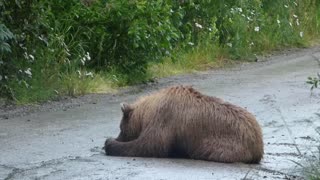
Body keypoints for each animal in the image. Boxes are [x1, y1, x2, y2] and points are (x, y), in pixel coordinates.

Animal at [104, 85, 264, 163]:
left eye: (121, 128)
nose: (118, 137)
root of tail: (259, 143)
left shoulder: (164, 118)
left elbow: (150, 145)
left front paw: (109, 143)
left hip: (226, 145)